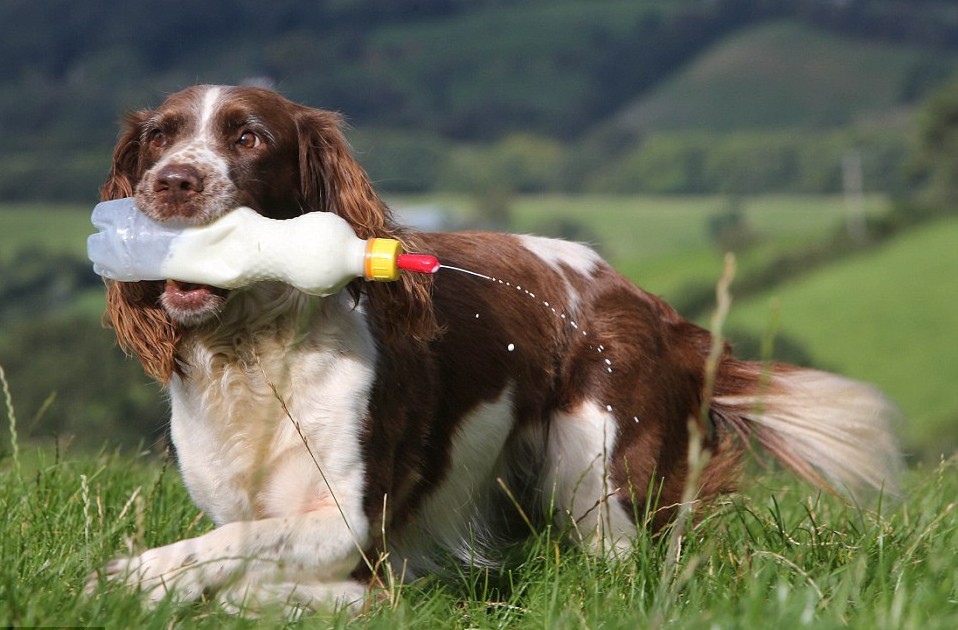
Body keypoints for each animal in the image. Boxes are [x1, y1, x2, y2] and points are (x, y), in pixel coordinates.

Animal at [88, 86, 900, 616]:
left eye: (249, 137)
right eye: (158, 137)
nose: (172, 183)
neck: (254, 352)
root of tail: (664, 316)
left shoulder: (353, 526)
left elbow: (235, 556)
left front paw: (130, 579)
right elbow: (231, 543)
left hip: (600, 479)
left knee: (632, 567)